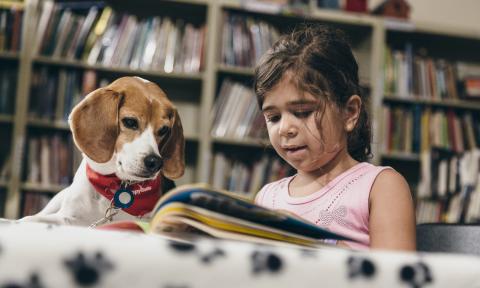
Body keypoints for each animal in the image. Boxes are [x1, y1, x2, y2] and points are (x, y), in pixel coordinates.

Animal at [19, 76, 184, 227]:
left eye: (164, 130)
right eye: (130, 122)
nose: (155, 162)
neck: (117, 186)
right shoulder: (67, 217)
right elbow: (29, 219)